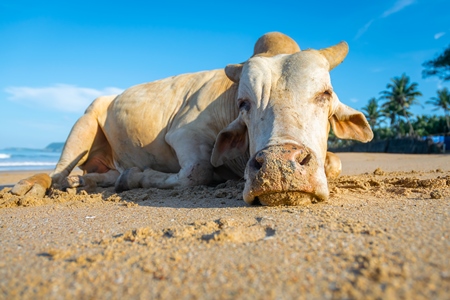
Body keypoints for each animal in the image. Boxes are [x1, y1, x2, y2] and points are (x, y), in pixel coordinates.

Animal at [12, 32, 374, 206]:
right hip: (86, 119)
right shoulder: (184, 135)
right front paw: (135, 177)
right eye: (244, 103)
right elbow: (196, 172)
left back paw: (91, 181)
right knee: (58, 174)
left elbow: (335, 163)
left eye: (325, 94)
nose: (278, 168)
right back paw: (33, 185)